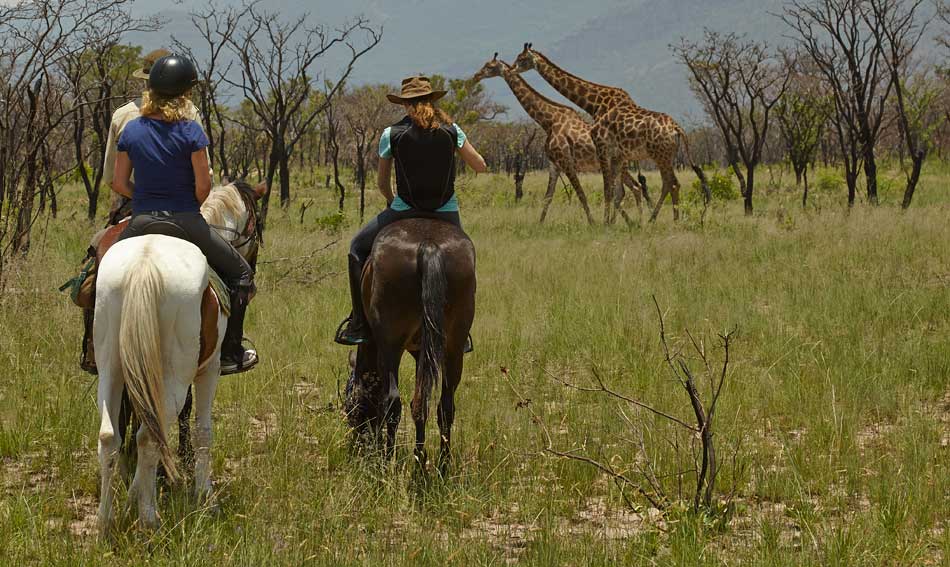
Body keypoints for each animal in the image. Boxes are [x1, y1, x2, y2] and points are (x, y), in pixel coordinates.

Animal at [94, 181, 264, 535]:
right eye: (257, 225)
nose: (254, 265)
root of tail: (144, 265)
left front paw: (133, 494)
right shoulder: (208, 370)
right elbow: (203, 430)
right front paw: (205, 495)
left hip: (112, 367)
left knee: (110, 436)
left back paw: (105, 522)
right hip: (174, 374)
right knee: (149, 435)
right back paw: (149, 519)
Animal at [344, 219, 476, 471]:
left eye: (350, 403)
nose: (358, 443)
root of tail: (428, 245)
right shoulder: (421, 353)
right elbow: (420, 404)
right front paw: (420, 458)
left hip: (390, 347)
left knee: (392, 403)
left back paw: (387, 461)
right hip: (454, 348)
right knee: (445, 406)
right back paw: (442, 466)